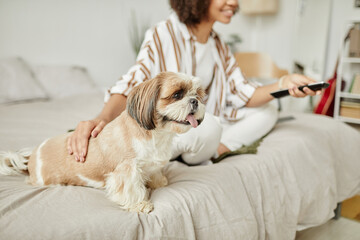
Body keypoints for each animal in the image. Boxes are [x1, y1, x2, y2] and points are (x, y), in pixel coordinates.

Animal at [0, 72, 205, 213]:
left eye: (197, 94)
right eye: (177, 94)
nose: (194, 101)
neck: (156, 134)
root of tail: (32, 158)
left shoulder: (152, 164)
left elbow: (154, 173)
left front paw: (159, 182)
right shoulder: (126, 170)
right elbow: (131, 188)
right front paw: (140, 204)